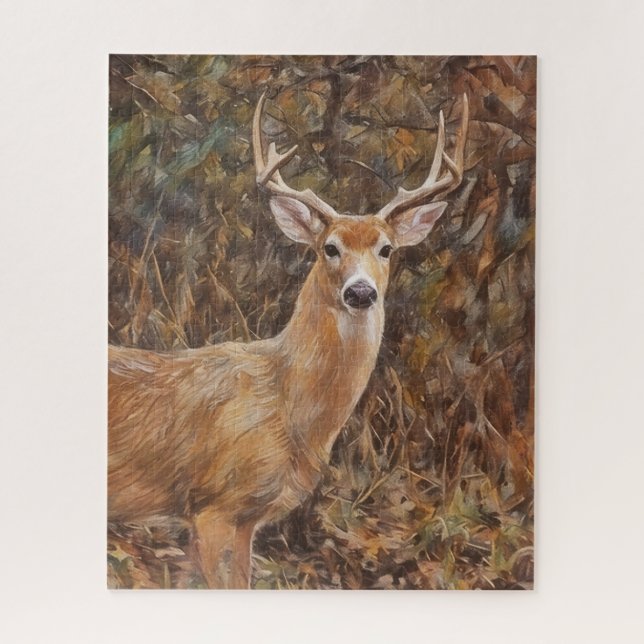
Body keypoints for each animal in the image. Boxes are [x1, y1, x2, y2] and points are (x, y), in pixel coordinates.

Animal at [108, 91, 469, 589]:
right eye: (330, 247)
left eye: (386, 249)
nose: (361, 291)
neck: (289, 405)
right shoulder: (212, 505)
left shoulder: (246, 518)